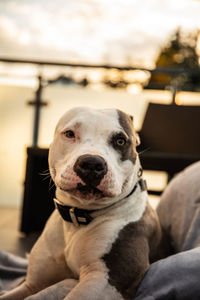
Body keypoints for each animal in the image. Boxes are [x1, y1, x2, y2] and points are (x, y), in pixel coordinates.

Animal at [0, 106, 162, 298]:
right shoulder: (32, 285)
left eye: (120, 141)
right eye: (70, 134)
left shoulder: (106, 281)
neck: (77, 216)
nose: (92, 163)